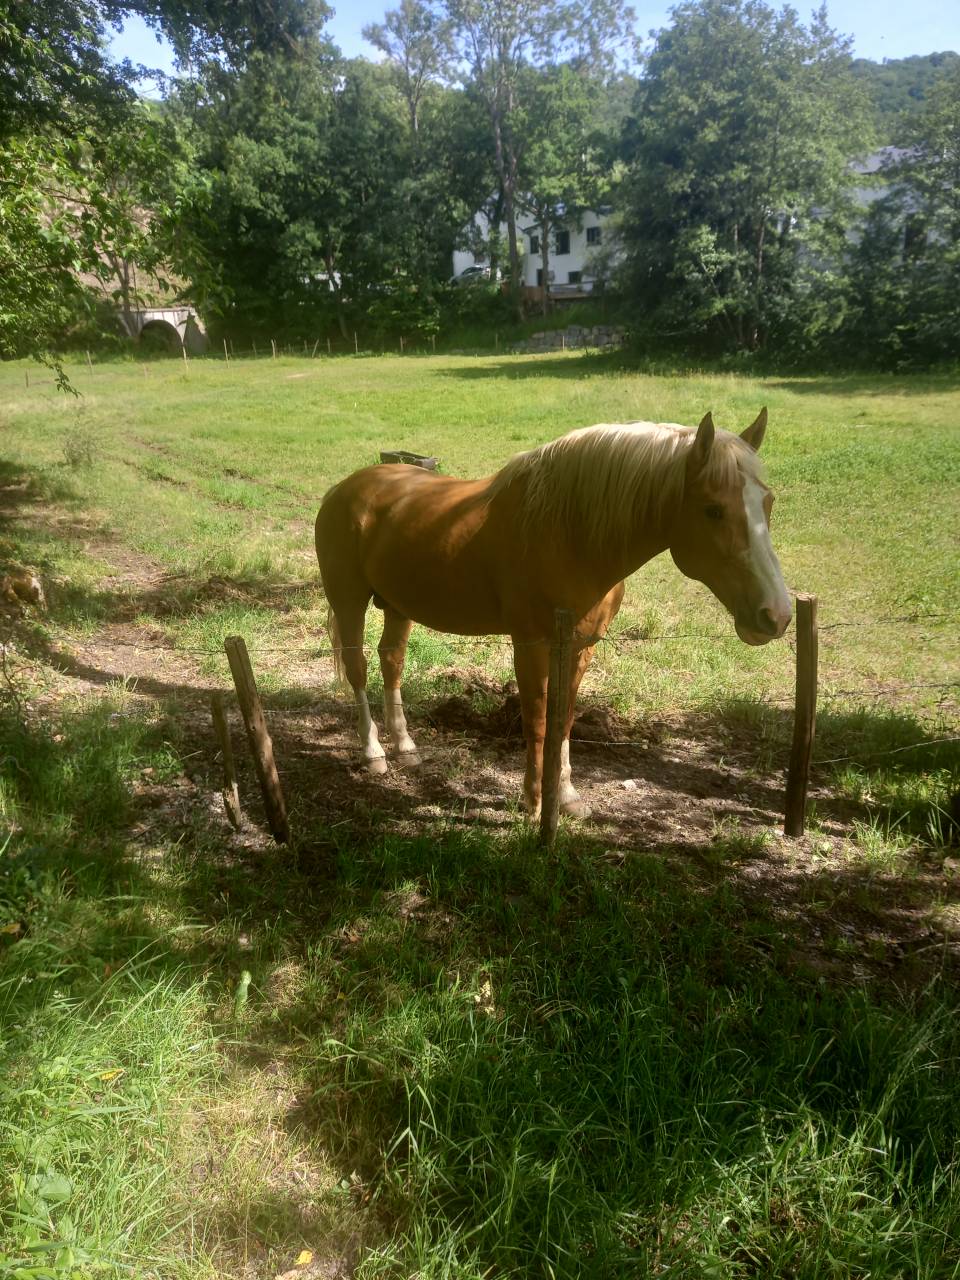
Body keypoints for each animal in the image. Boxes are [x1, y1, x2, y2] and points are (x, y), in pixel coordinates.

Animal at [315, 409, 792, 818]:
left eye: (767, 502)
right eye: (713, 509)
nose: (777, 615)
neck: (568, 532)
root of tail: (345, 488)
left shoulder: (580, 647)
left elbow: (563, 722)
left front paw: (566, 797)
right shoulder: (530, 645)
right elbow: (539, 721)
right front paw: (533, 802)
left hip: (398, 605)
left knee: (391, 661)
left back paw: (406, 747)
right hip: (349, 601)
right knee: (358, 669)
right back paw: (374, 754)